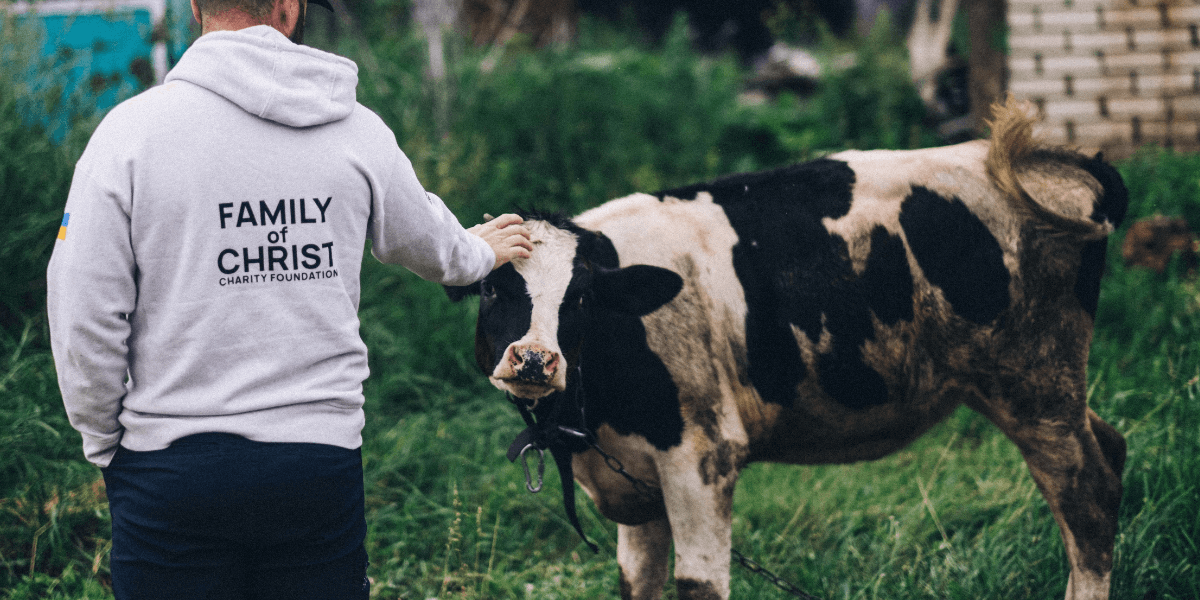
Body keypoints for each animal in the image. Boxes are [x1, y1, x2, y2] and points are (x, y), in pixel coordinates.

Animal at [446, 99, 1128, 600]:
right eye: (492, 288)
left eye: (582, 298)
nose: (535, 359)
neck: (591, 418)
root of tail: (1026, 159)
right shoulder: (636, 485)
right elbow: (637, 584)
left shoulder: (703, 459)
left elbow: (699, 585)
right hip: (1024, 385)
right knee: (1112, 450)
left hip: (1034, 382)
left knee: (1088, 499)